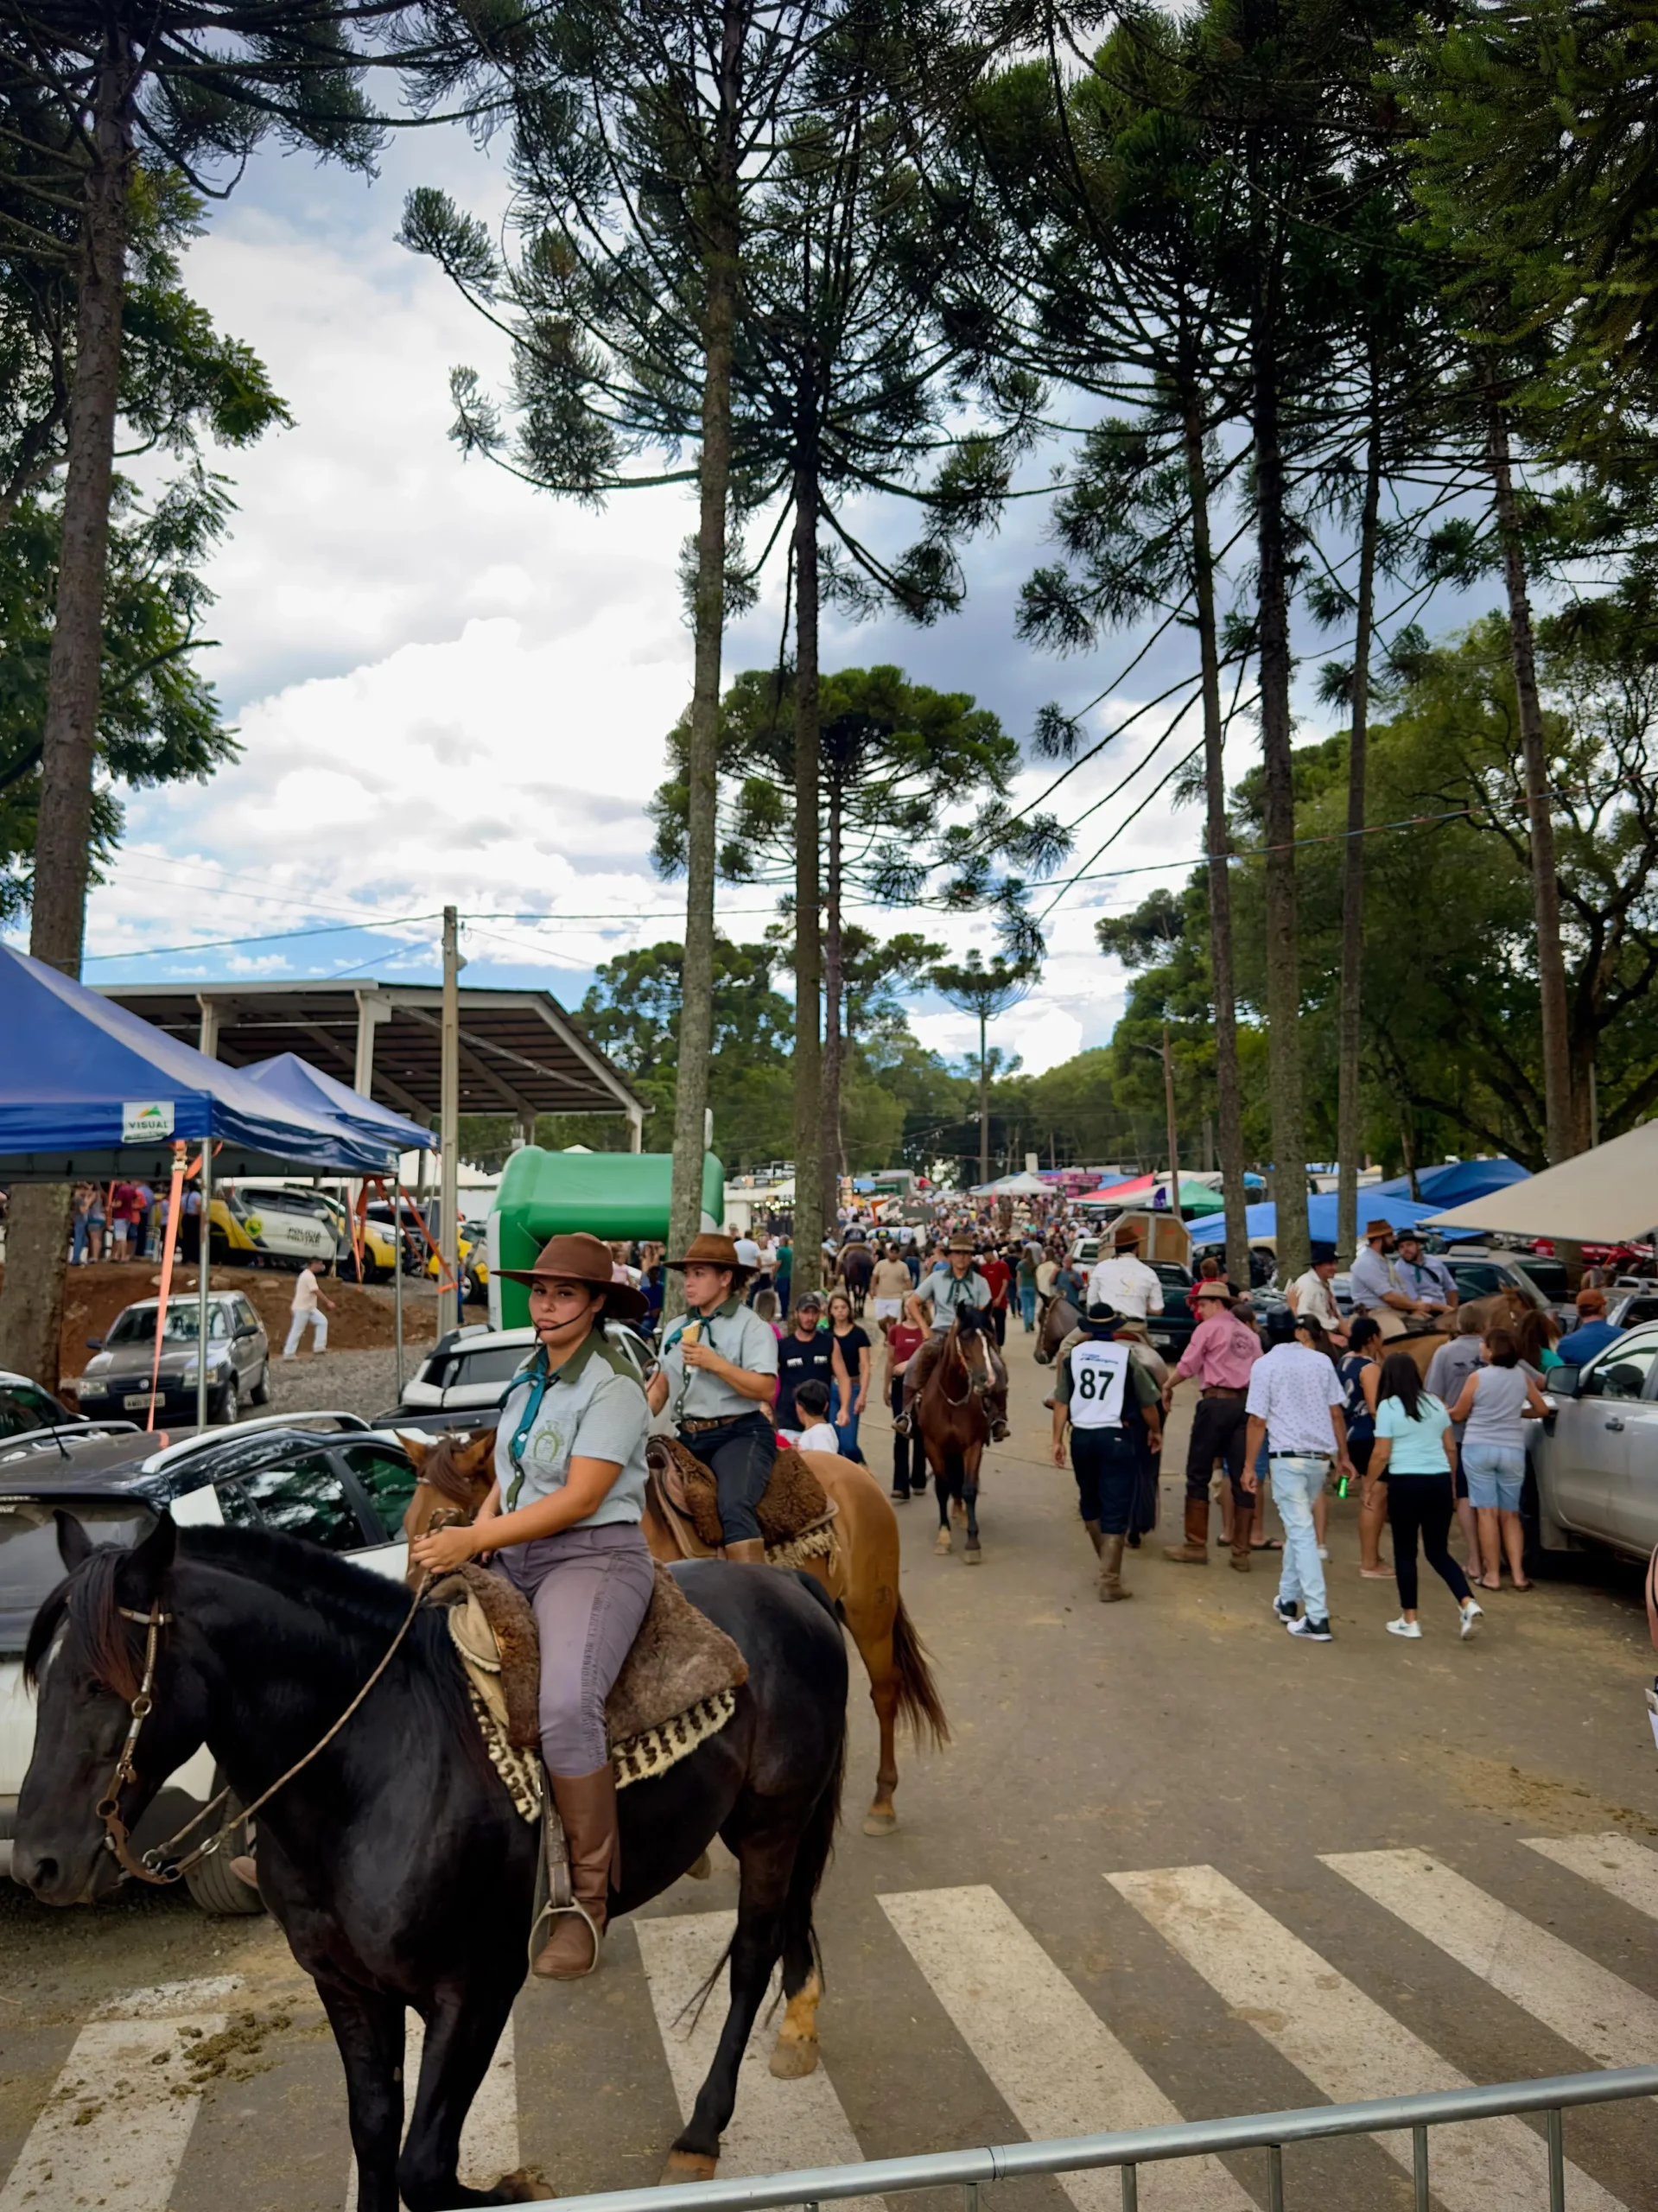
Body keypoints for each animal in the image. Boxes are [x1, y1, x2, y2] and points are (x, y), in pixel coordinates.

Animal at [10, 1522, 844, 2212]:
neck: (374, 1769)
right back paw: (799, 2027)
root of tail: (787, 1585)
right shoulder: (349, 1991)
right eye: (42, 1681)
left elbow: (426, 2168)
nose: (37, 1865)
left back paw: (699, 2135)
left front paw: (518, 2186)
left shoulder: (474, 1991)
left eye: (99, 1683)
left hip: (771, 1825)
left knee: (752, 1956)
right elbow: (377, 2143)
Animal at [396, 1424, 955, 1840]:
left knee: (885, 1692)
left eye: (449, 1520)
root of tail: (857, 1478)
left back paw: (883, 1802)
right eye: (407, 1524)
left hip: (869, 1614)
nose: (415, 1599)